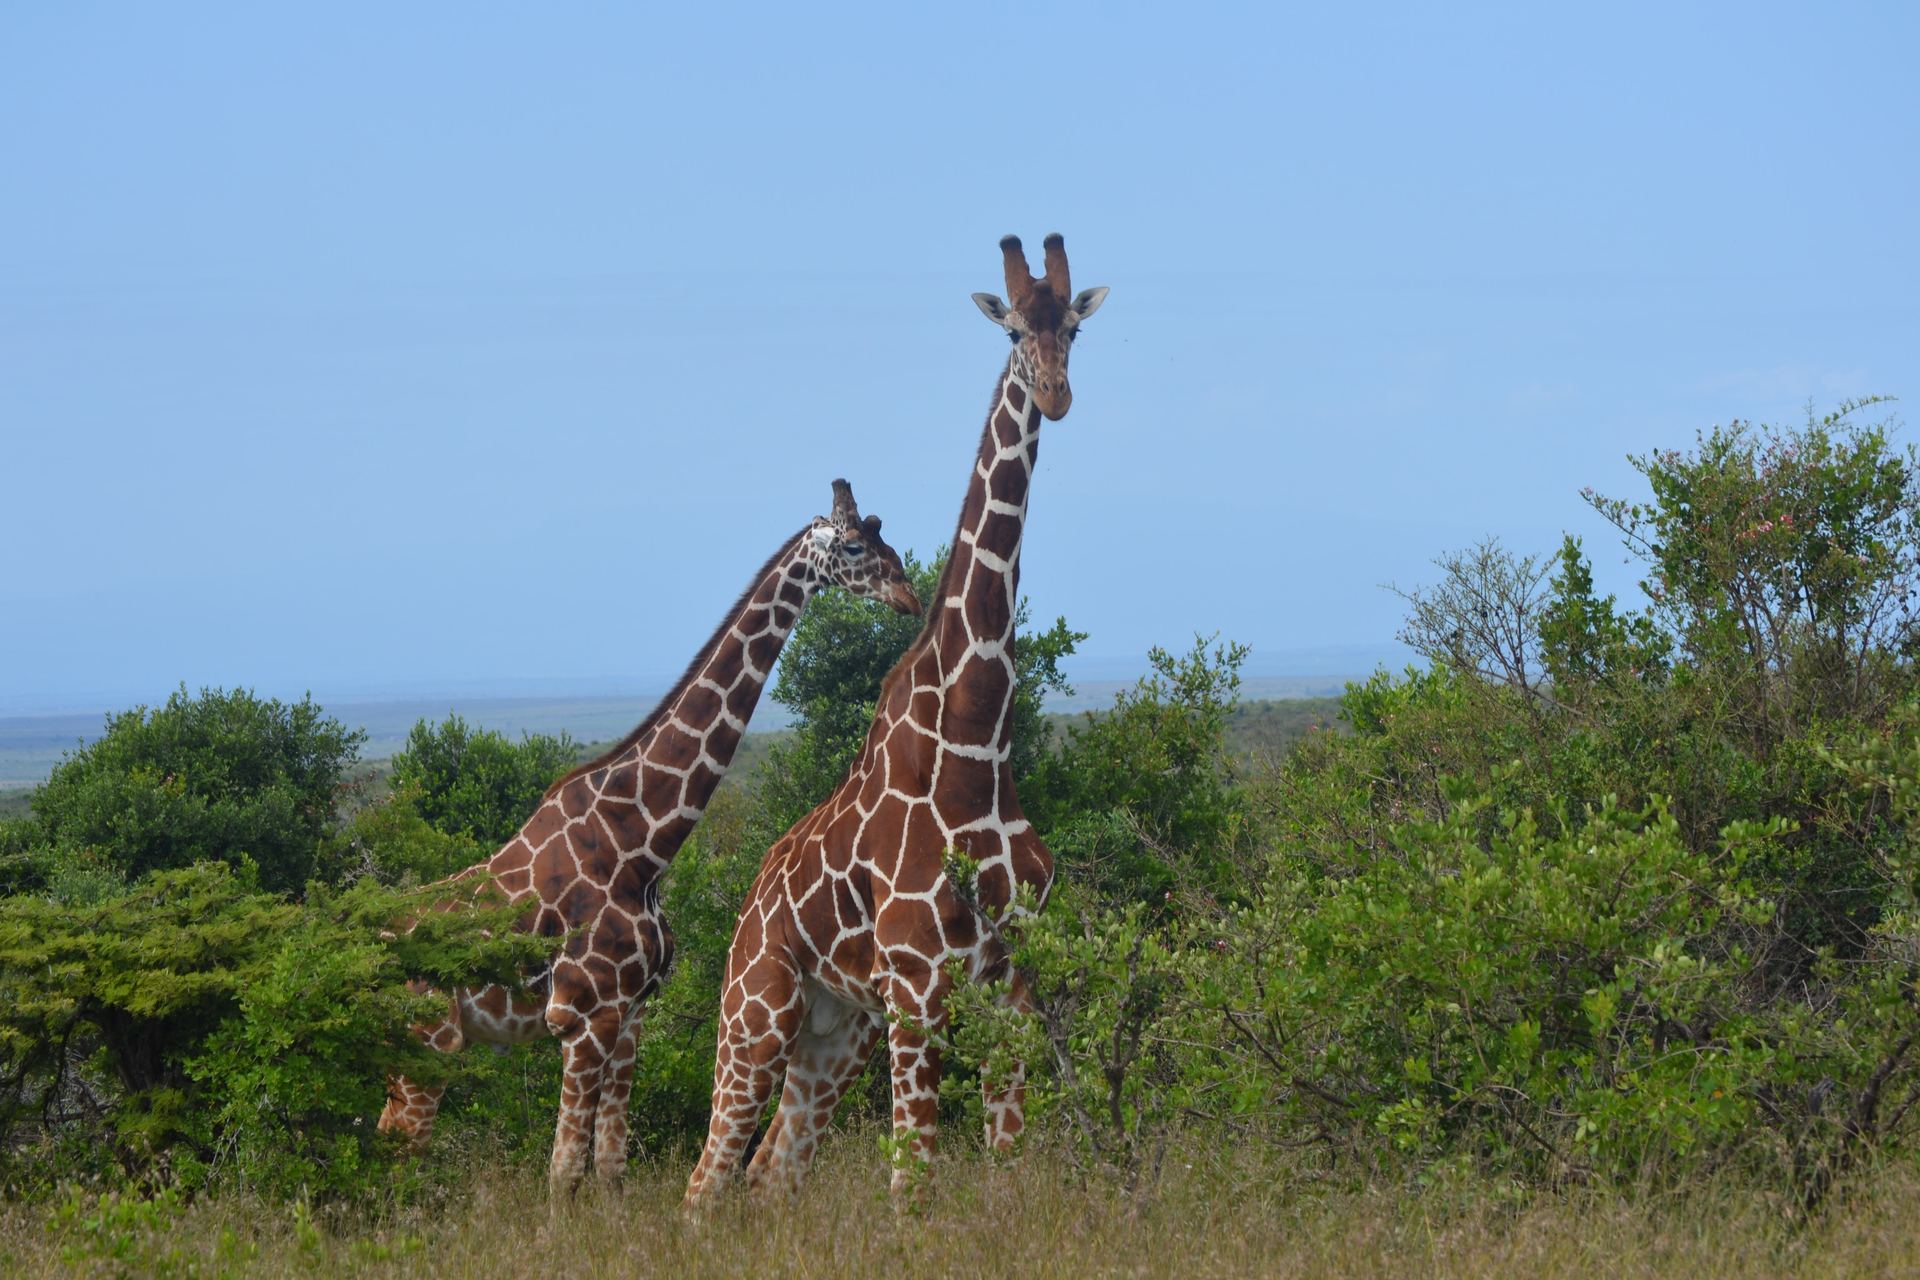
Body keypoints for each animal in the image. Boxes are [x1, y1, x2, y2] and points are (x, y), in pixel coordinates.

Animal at [375, 479, 921, 1197]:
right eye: (856, 545)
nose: (909, 595)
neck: (641, 844)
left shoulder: (630, 1014)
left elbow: (610, 1167)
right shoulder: (581, 1017)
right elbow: (564, 1170)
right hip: (430, 1041)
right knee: (401, 1149)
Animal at [683, 234, 1108, 1204]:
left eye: (1070, 326)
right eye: (1013, 329)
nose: (1055, 394)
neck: (976, 746)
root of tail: (746, 903)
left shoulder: (1010, 990)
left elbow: (1004, 1176)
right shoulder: (917, 993)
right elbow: (912, 1192)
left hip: (831, 1030)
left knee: (769, 1176)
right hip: (755, 1016)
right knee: (705, 1182)